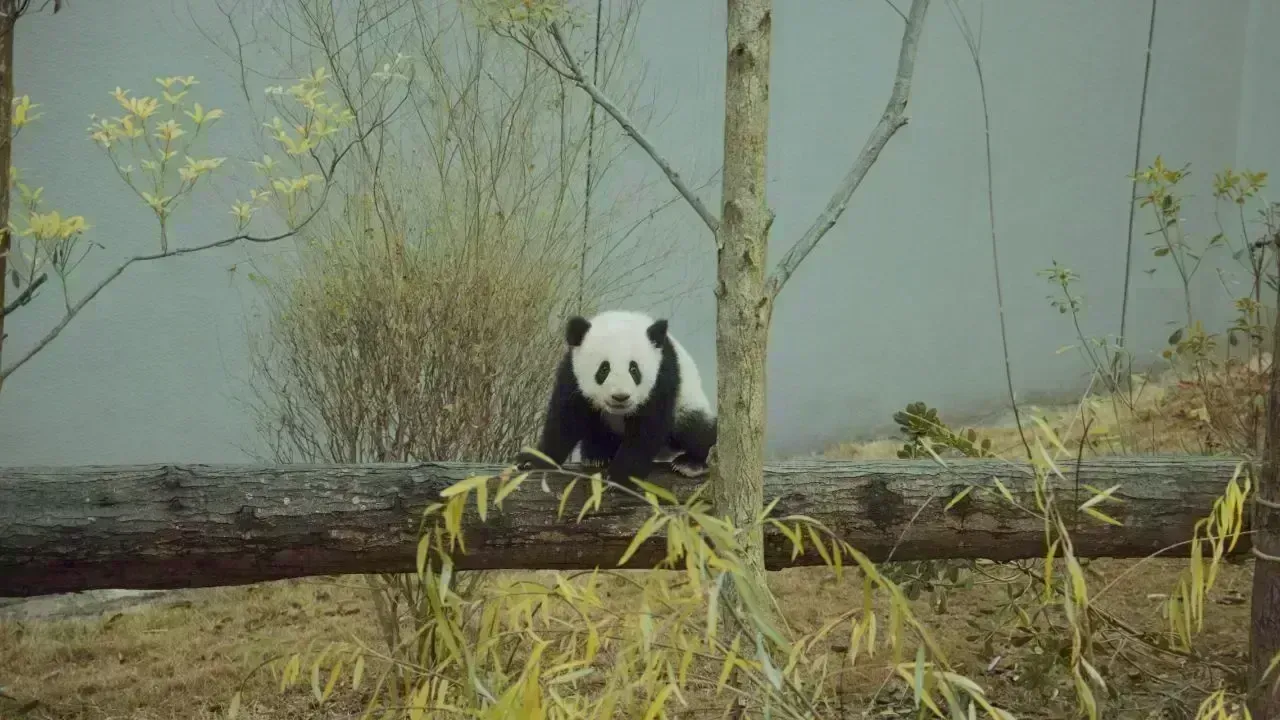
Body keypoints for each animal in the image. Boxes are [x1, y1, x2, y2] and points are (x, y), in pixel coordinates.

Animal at [514, 309, 717, 485]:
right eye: (604, 369)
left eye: (634, 369)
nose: (621, 397)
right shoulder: (572, 374)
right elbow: (565, 420)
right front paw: (532, 460)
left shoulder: (663, 376)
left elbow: (648, 426)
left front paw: (622, 476)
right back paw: (596, 454)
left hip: (688, 402)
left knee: (696, 428)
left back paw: (690, 463)